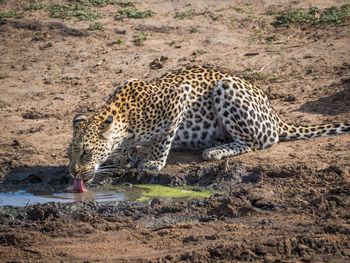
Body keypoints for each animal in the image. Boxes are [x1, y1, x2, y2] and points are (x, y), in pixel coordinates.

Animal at [67, 64, 348, 184]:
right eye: (70, 154)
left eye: (86, 153)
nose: (72, 173)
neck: (125, 122)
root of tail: (275, 114)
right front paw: (127, 158)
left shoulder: (178, 97)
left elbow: (163, 138)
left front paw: (153, 162)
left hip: (228, 87)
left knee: (253, 143)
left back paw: (215, 151)